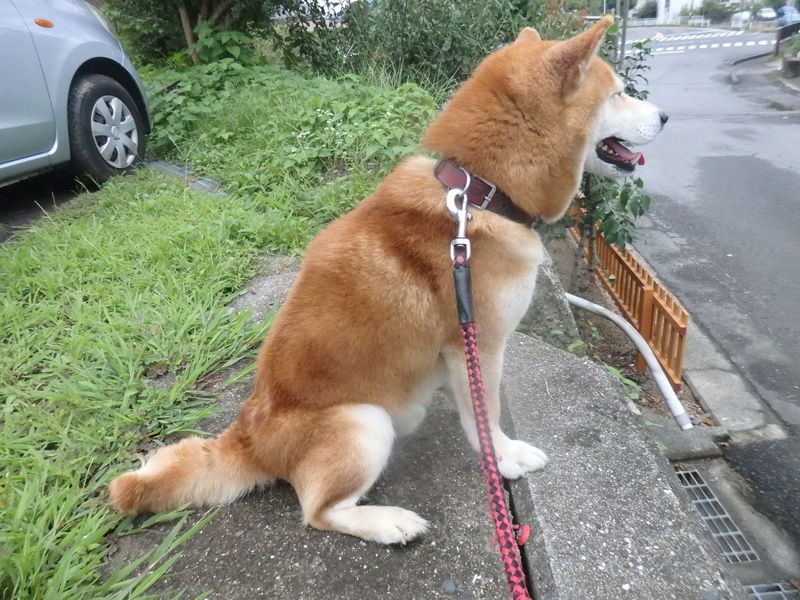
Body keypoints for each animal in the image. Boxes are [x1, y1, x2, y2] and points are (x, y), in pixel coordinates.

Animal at [109, 17, 664, 544]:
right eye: (618, 93)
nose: (665, 117)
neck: (478, 193)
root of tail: (250, 438)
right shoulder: (478, 344)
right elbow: (484, 417)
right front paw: (505, 459)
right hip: (364, 422)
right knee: (320, 513)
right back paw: (389, 523)